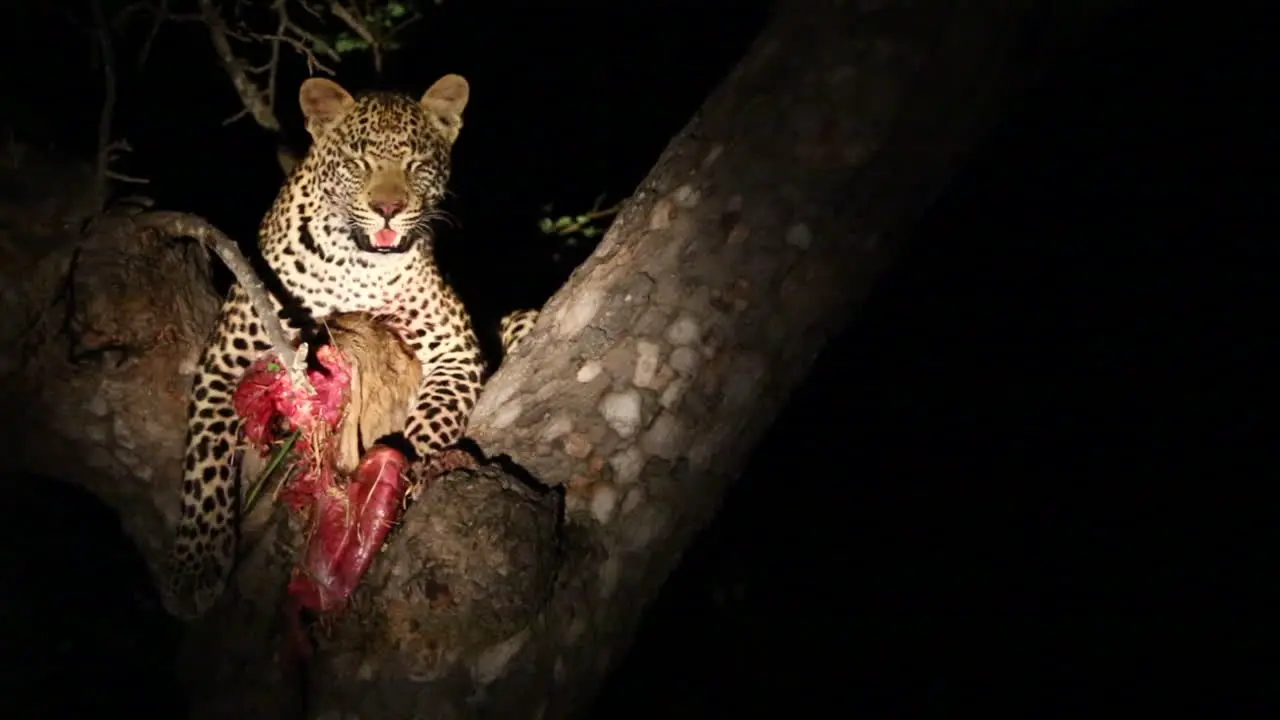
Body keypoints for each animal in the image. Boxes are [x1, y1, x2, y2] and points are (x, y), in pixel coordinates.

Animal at [161, 75, 540, 620]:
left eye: (415, 164)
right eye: (359, 162)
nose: (388, 209)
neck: (358, 265)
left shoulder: (455, 347)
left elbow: (430, 421)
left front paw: (401, 476)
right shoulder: (225, 363)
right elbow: (204, 462)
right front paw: (195, 566)